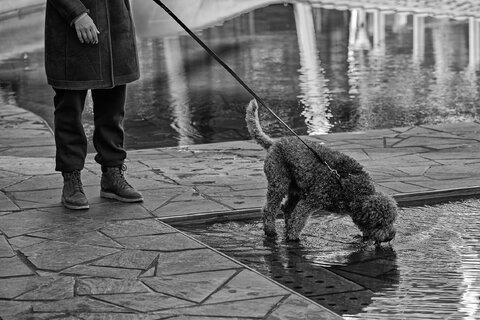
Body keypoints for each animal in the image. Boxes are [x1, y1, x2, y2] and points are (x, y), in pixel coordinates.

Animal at [246, 99, 396, 242]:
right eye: (379, 223)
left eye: (392, 221)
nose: (390, 237)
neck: (350, 186)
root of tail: (274, 143)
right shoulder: (311, 201)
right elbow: (298, 219)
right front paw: (293, 237)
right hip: (279, 183)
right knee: (269, 209)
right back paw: (271, 231)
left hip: (296, 189)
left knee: (287, 209)